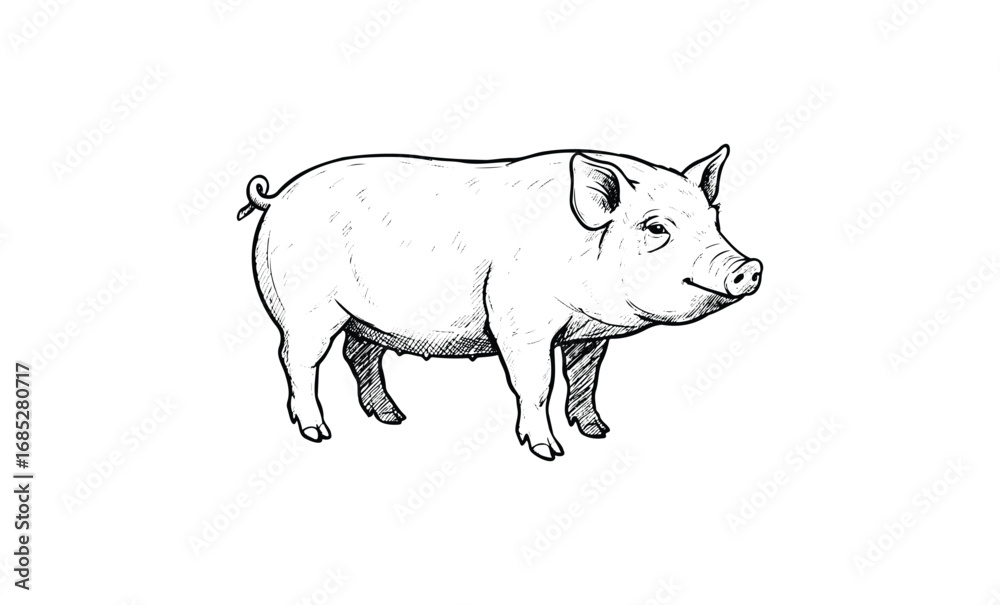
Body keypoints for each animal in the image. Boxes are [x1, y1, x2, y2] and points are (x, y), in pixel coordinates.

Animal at [238, 145, 762, 460]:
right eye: (656, 227)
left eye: (713, 221)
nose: (748, 266)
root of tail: (276, 197)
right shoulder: (519, 320)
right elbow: (537, 384)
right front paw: (549, 452)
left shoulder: (588, 335)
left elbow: (585, 379)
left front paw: (598, 432)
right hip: (306, 310)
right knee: (298, 361)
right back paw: (318, 432)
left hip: (362, 318)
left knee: (358, 354)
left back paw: (394, 417)